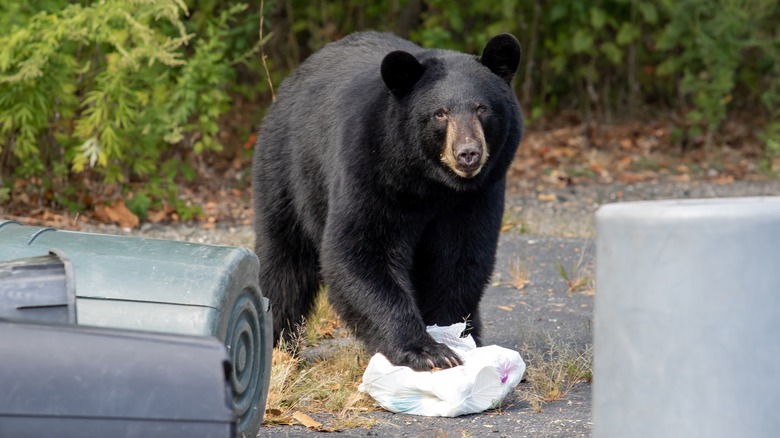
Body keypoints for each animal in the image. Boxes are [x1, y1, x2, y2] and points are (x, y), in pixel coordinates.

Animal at [254, 32, 524, 372]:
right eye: (440, 113)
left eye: (482, 109)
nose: (468, 154)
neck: (431, 183)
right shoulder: (371, 170)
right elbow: (360, 251)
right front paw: (427, 350)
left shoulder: (476, 196)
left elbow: (459, 258)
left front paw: (451, 335)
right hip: (289, 170)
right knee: (284, 261)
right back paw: (278, 344)